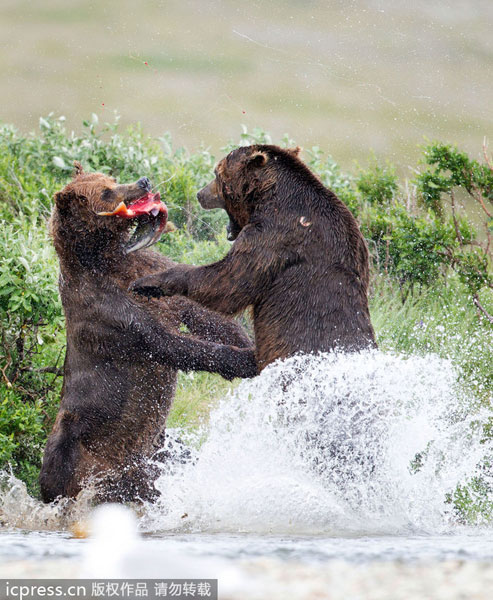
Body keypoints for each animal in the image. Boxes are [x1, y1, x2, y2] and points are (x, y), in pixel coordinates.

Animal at [40, 162, 256, 504]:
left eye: (111, 179)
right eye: (106, 192)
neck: (106, 258)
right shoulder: (108, 310)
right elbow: (166, 343)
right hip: (83, 447)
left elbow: (201, 312)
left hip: (158, 448)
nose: (143, 181)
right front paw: (248, 360)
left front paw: (248, 342)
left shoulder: (149, 269)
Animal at [131, 146, 376, 370]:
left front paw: (149, 283)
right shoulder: (355, 239)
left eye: (216, 172)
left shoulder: (271, 236)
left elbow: (229, 282)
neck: (268, 197)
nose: (200, 194)